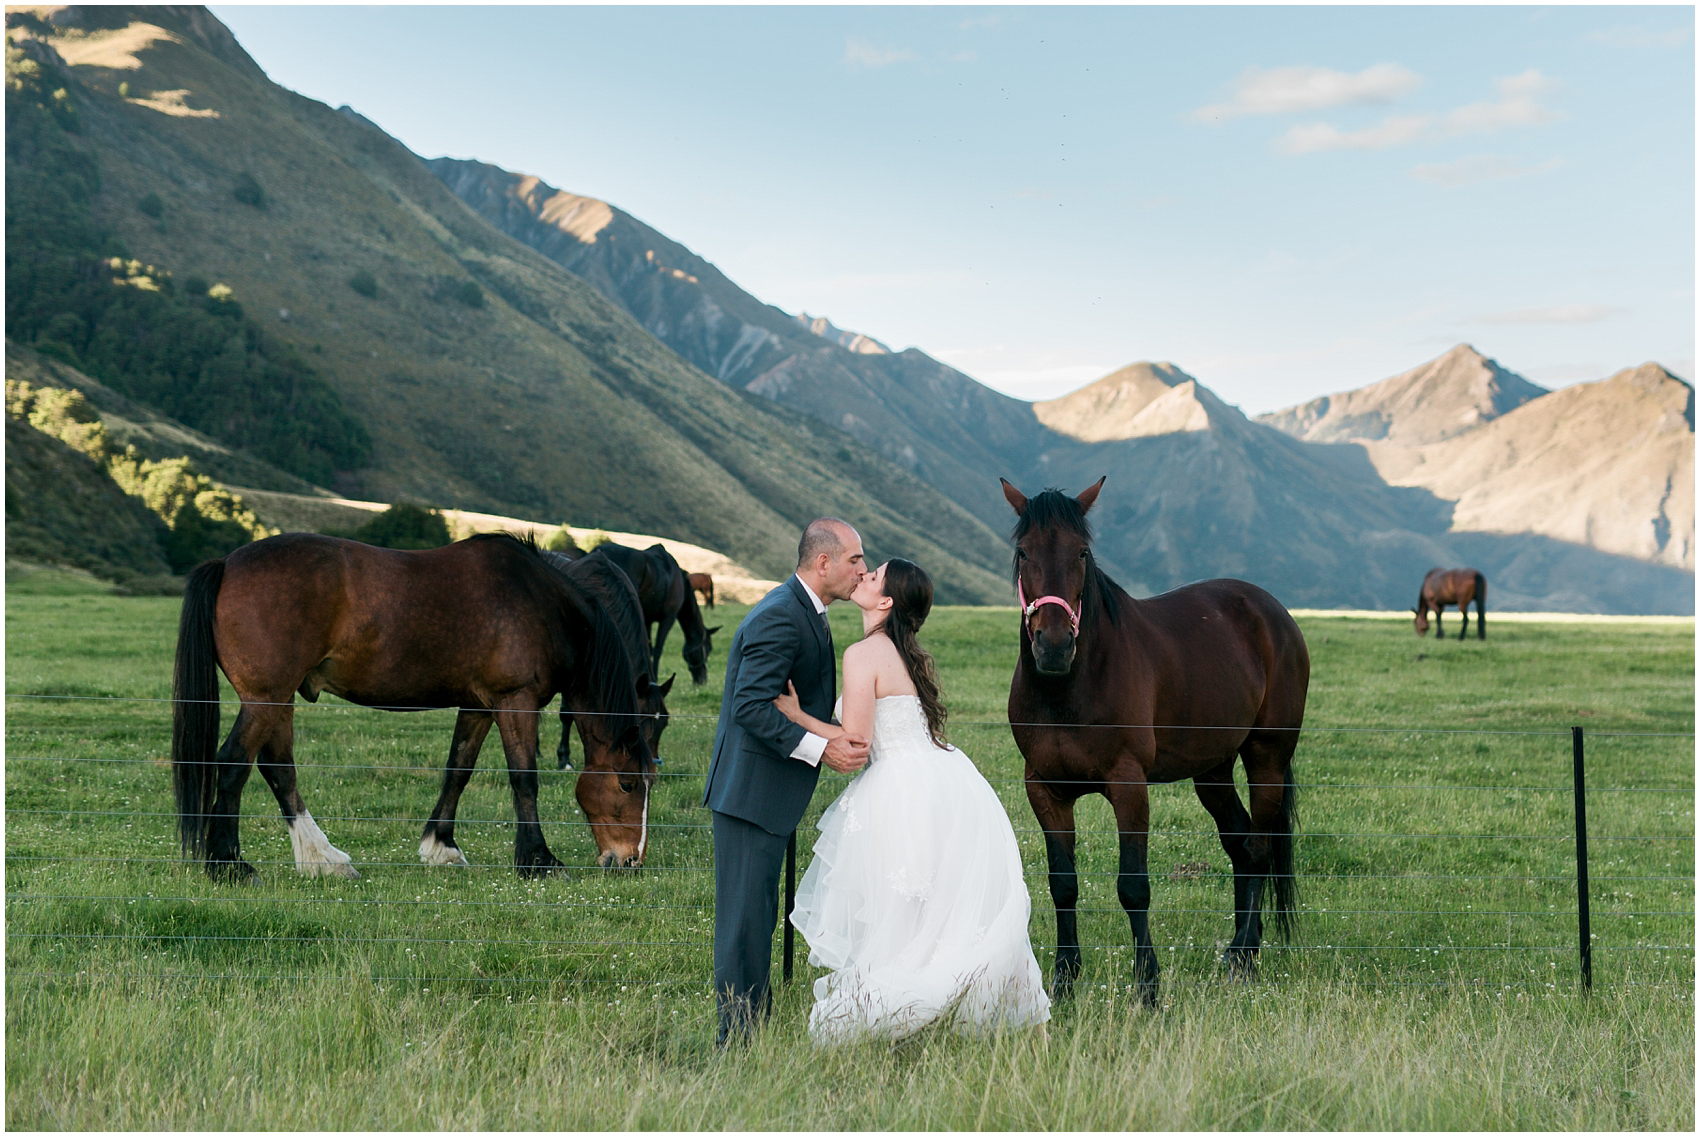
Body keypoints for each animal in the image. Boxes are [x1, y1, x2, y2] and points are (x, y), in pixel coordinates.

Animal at [172, 533, 659, 876]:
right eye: (627, 785)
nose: (630, 860)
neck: (542, 602)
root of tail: (227, 564)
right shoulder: (516, 702)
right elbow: (524, 779)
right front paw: (538, 860)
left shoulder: (480, 707)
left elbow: (458, 769)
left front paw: (442, 846)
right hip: (266, 697)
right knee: (233, 762)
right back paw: (229, 865)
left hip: (278, 698)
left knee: (278, 769)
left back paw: (323, 859)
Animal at [598, 540, 717, 683]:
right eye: (708, 649)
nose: (702, 680)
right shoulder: (668, 618)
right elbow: (658, 649)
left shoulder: (647, 620)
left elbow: (648, 648)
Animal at [999, 475, 1305, 1006]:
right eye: (1023, 552)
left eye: (1082, 552)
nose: (1054, 646)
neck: (1068, 689)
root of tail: (1273, 612)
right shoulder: (1044, 790)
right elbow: (1063, 884)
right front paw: (1064, 979)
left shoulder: (1128, 786)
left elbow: (1133, 887)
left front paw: (1147, 986)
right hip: (1213, 771)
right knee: (1241, 844)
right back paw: (1239, 950)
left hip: (1266, 757)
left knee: (1260, 848)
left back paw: (1244, 957)